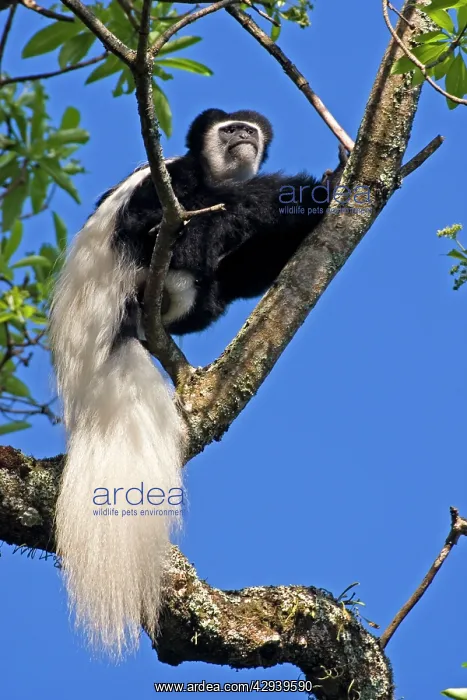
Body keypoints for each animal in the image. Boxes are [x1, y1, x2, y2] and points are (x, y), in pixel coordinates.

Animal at [49, 108, 346, 658]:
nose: (245, 135)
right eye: (229, 130)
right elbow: (165, 213)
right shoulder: (175, 177)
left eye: (249, 131)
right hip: (150, 257)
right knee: (203, 221)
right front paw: (313, 188)